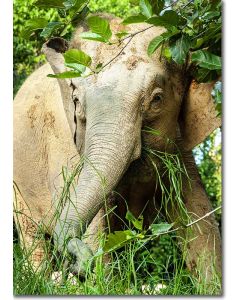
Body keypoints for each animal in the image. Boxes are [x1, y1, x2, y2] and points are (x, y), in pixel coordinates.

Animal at [13, 15, 221, 284]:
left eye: (156, 99)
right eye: (76, 101)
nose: (76, 258)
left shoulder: (181, 147)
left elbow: (199, 218)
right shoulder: (64, 142)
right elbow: (94, 225)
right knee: (33, 240)